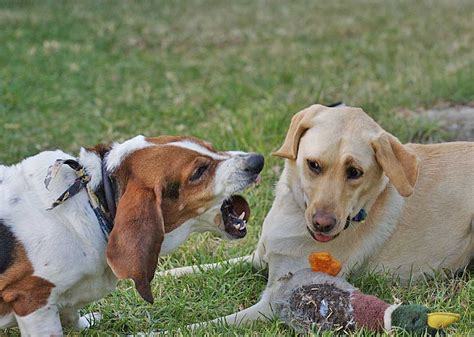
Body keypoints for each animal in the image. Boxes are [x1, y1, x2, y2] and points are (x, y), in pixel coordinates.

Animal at [0, 134, 262, 334]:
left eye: (211, 147)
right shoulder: (32, 299)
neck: (92, 201)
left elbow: (70, 314)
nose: (258, 160)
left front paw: (86, 322)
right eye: (199, 171)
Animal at [161, 104, 472, 328]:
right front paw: (161, 274)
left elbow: (204, 325)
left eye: (355, 172)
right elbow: (199, 267)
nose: (323, 223)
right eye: (313, 165)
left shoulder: (274, 301)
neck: (294, 215)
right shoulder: (258, 258)